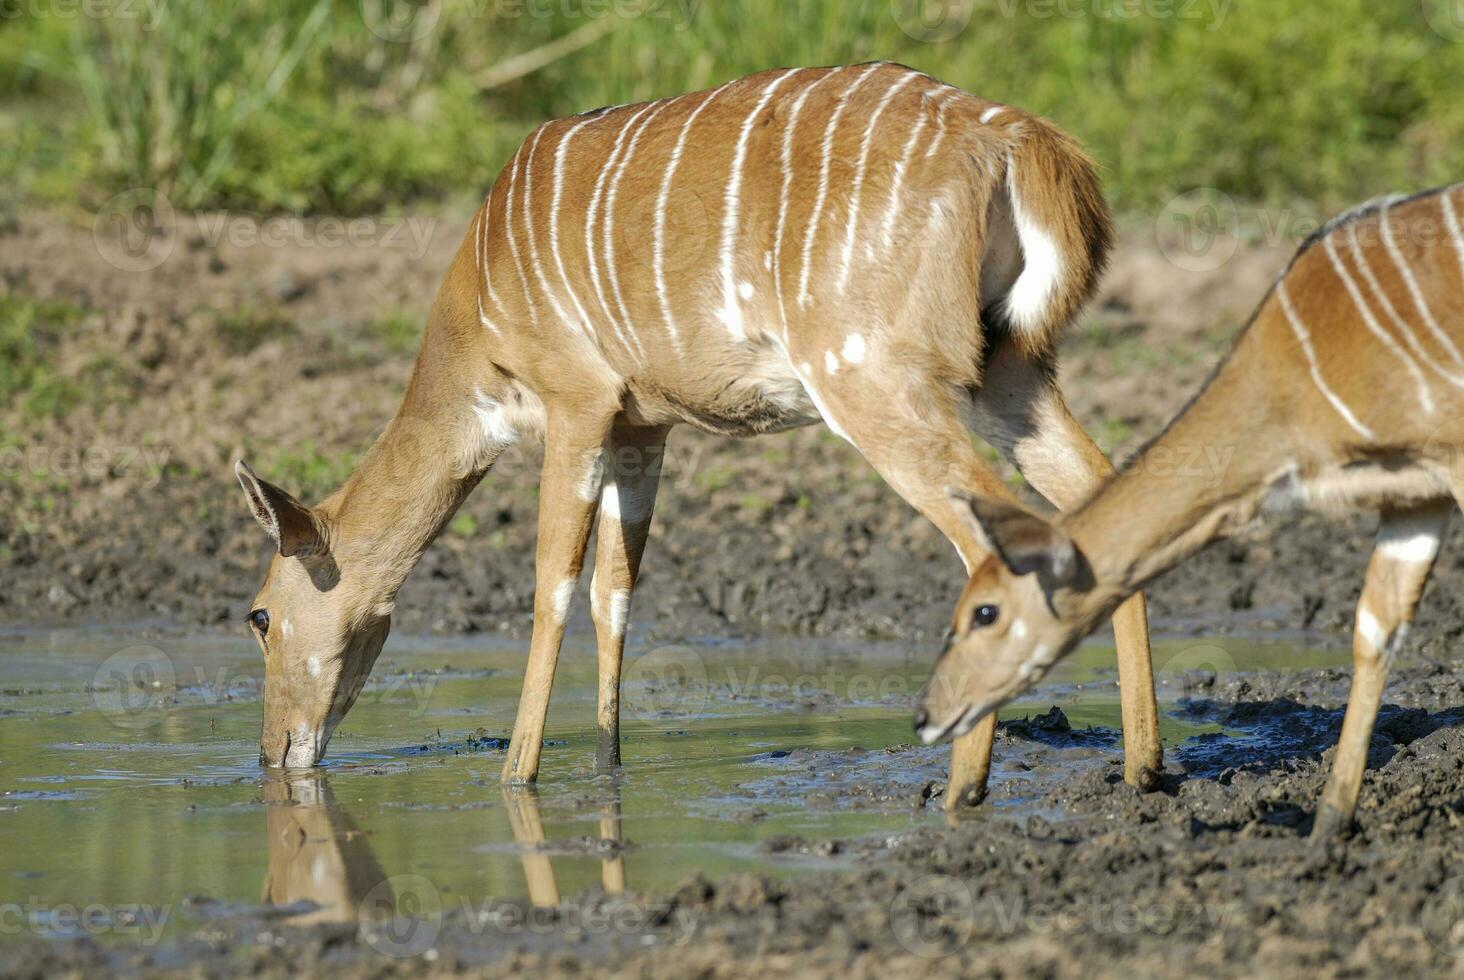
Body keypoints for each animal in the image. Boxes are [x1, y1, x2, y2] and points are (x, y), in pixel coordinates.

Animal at [234, 61, 1159, 802]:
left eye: (258, 616)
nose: (275, 754)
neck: (473, 327)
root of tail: (1018, 141)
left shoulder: (576, 400)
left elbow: (551, 588)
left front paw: (516, 776)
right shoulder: (643, 427)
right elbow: (615, 592)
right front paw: (606, 764)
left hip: (871, 375)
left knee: (990, 540)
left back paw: (961, 790)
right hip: (1009, 371)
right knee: (1096, 496)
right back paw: (1141, 769)